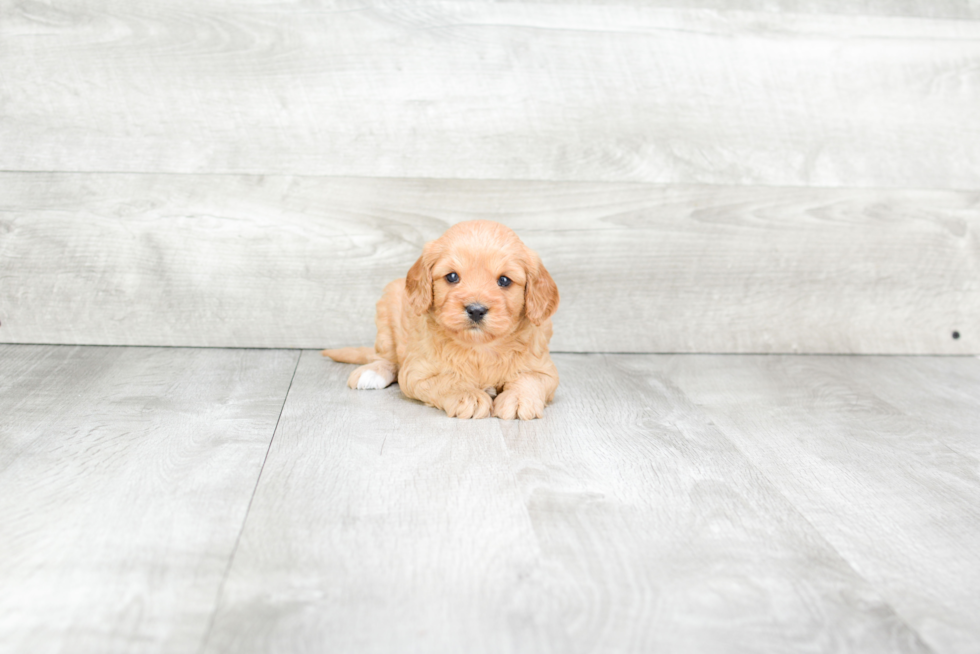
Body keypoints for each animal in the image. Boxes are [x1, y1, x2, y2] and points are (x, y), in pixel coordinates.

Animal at [324, 220, 560, 420]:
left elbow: (530, 378)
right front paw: (467, 395)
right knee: (387, 358)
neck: (480, 349)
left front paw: (518, 398)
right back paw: (372, 372)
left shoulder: (544, 368)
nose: (476, 310)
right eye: (452, 277)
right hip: (387, 311)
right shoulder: (417, 372)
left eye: (504, 280)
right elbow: (446, 380)